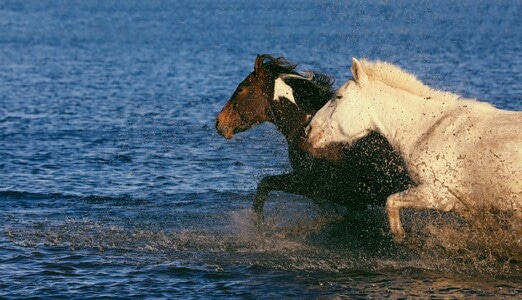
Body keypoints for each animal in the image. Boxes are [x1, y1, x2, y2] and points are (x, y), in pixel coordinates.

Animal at [304, 57, 520, 243]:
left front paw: (399, 237)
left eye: (338, 97)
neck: (427, 129)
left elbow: (391, 201)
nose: (310, 129)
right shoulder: (461, 204)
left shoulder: (438, 195)